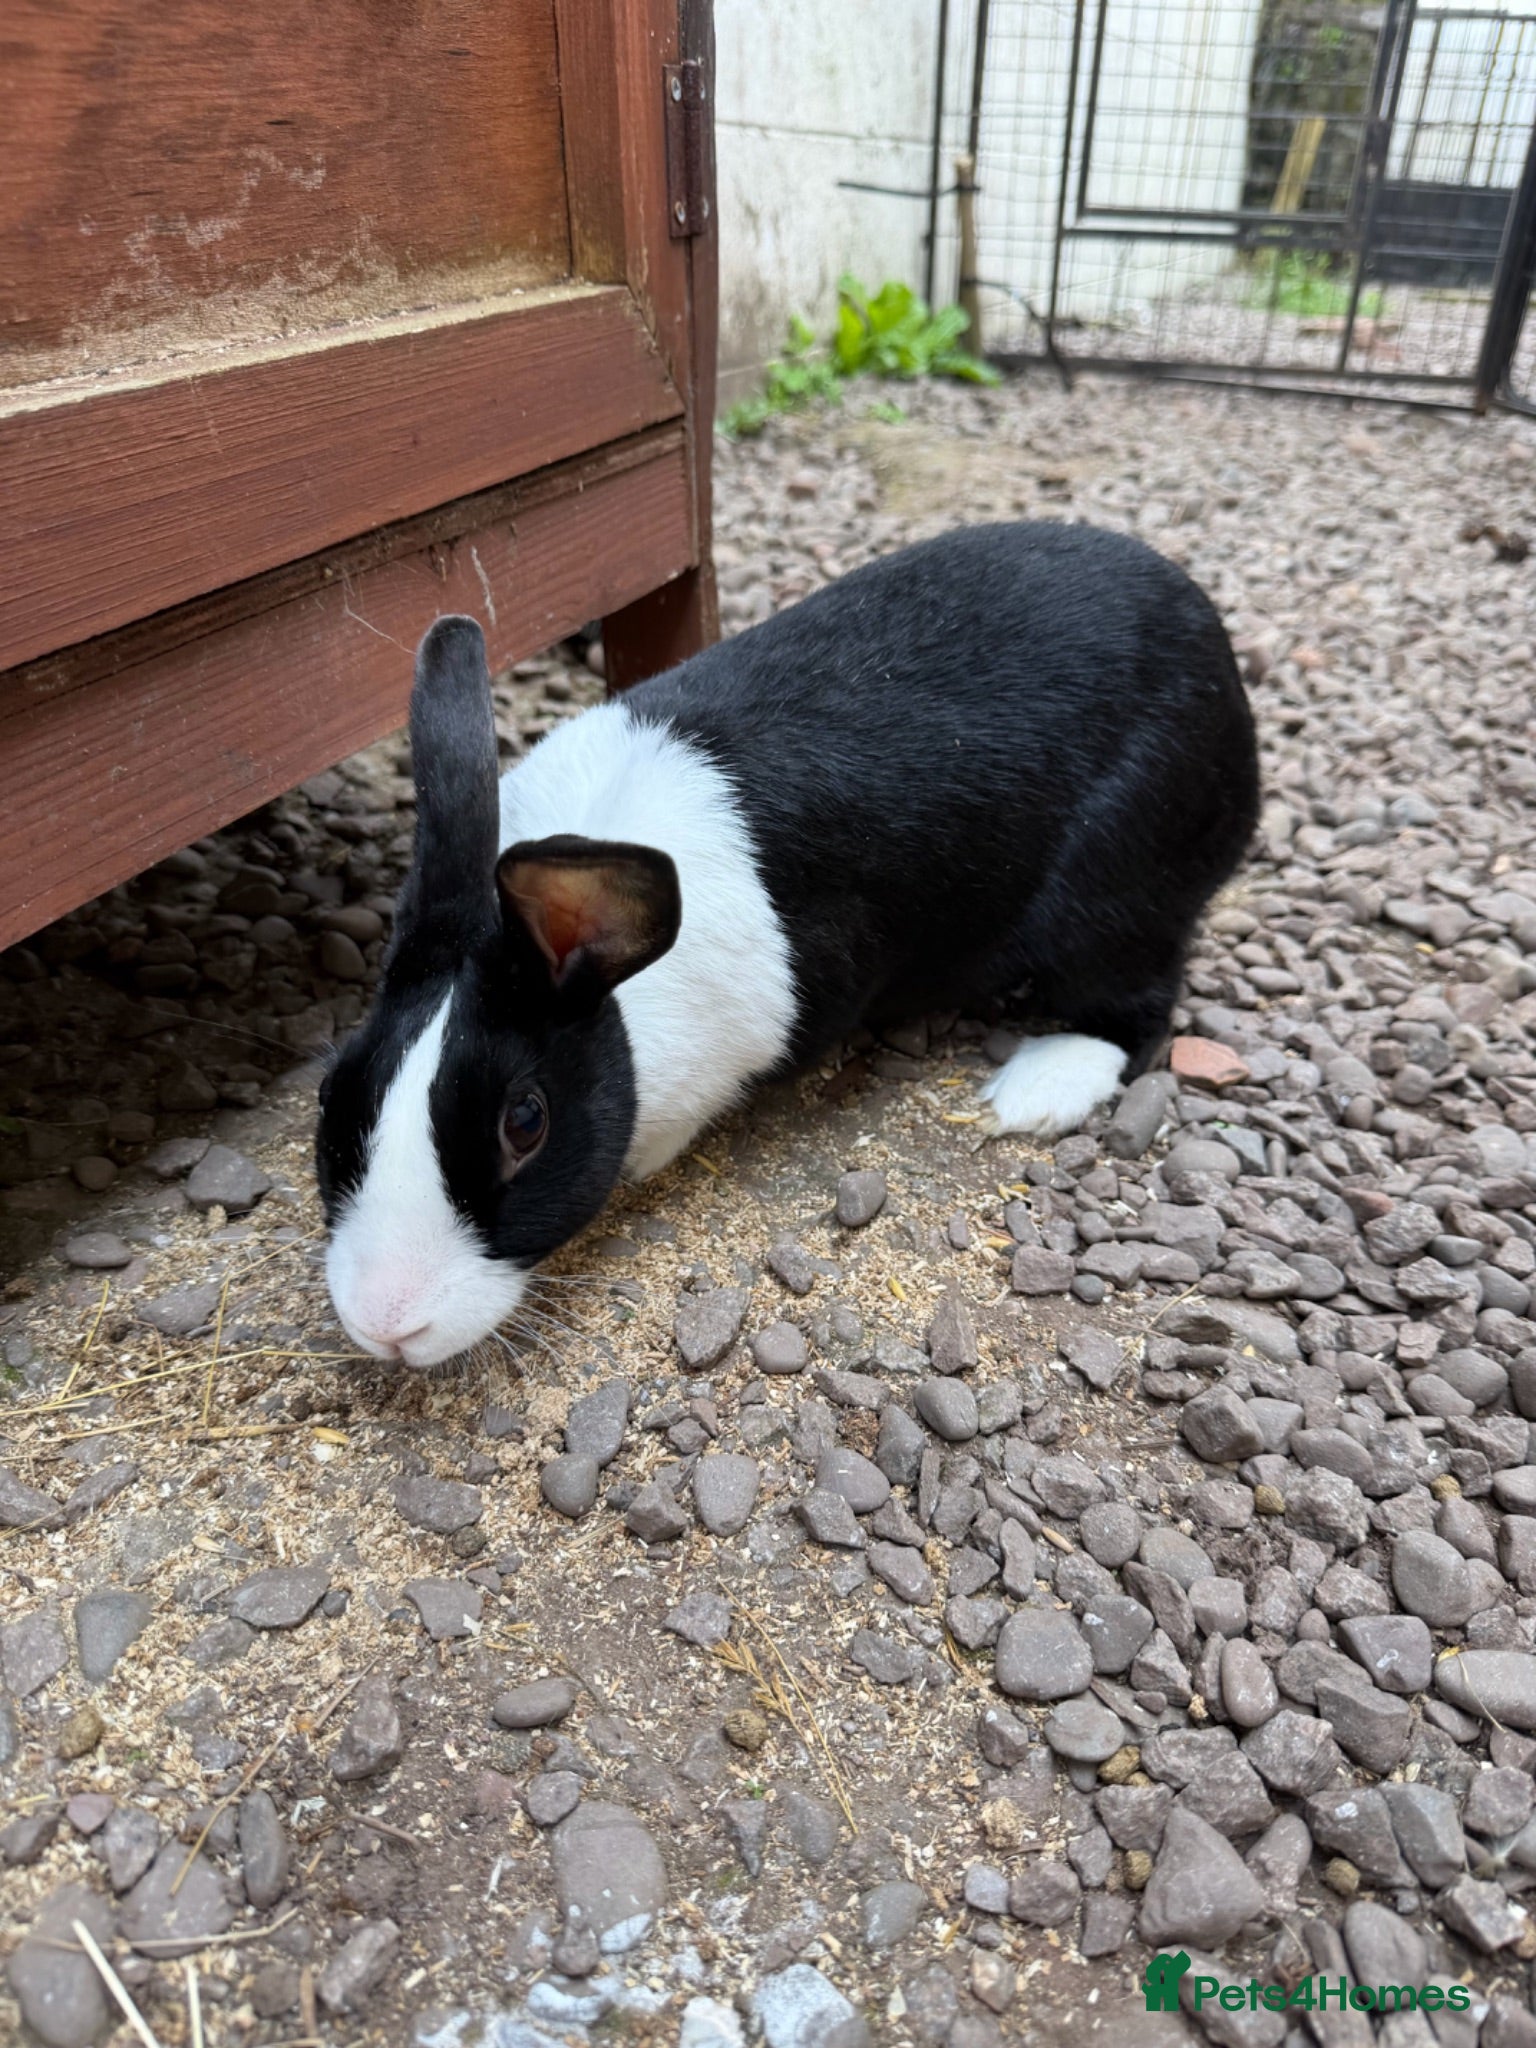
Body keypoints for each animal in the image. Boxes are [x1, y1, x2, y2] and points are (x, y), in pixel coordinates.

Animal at [316, 520, 1258, 1366]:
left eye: (525, 1122)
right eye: (335, 1087)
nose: (386, 1324)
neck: (625, 993)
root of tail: (1211, 646)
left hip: (1118, 891)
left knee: (1136, 1003)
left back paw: (1033, 1089)